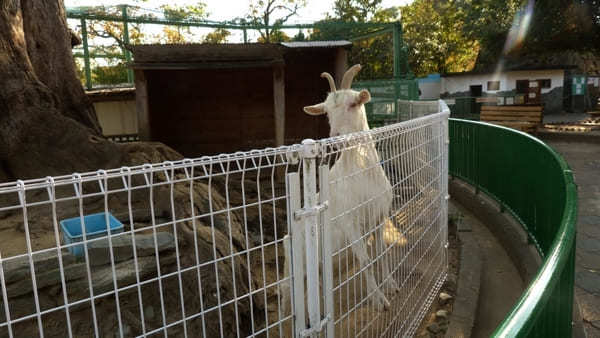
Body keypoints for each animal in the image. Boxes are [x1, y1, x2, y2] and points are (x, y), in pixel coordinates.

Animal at [284, 64, 400, 314]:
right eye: (326, 112)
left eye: (353, 104)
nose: (335, 139)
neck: (362, 172)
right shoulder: (350, 223)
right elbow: (365, 261)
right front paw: (379, 300)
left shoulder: (379, 217)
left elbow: (382, 254)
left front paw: (390, 285)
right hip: (293, 270)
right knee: (286, 297)